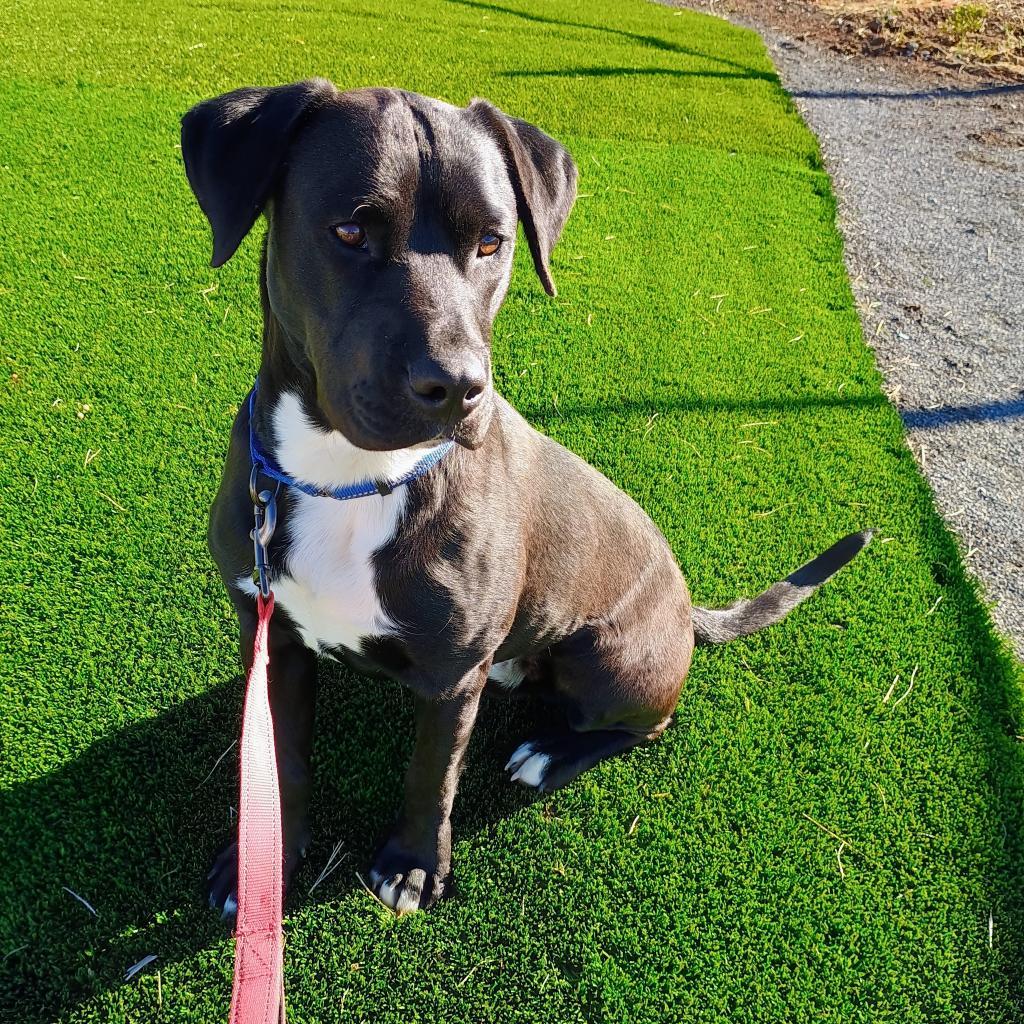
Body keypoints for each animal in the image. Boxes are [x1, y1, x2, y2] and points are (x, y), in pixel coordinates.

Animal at [180, 77, 868, 913]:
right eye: (348, 231)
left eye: (492, 243)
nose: (458, 388)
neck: (351, 478)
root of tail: (686, 608)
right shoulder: (272, 638)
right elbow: (279, 766)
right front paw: (263, 869)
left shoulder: (450, 681)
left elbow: (430, 778)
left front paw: (413, 865)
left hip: (605, 662)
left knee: (648, 723)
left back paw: (549, 753)